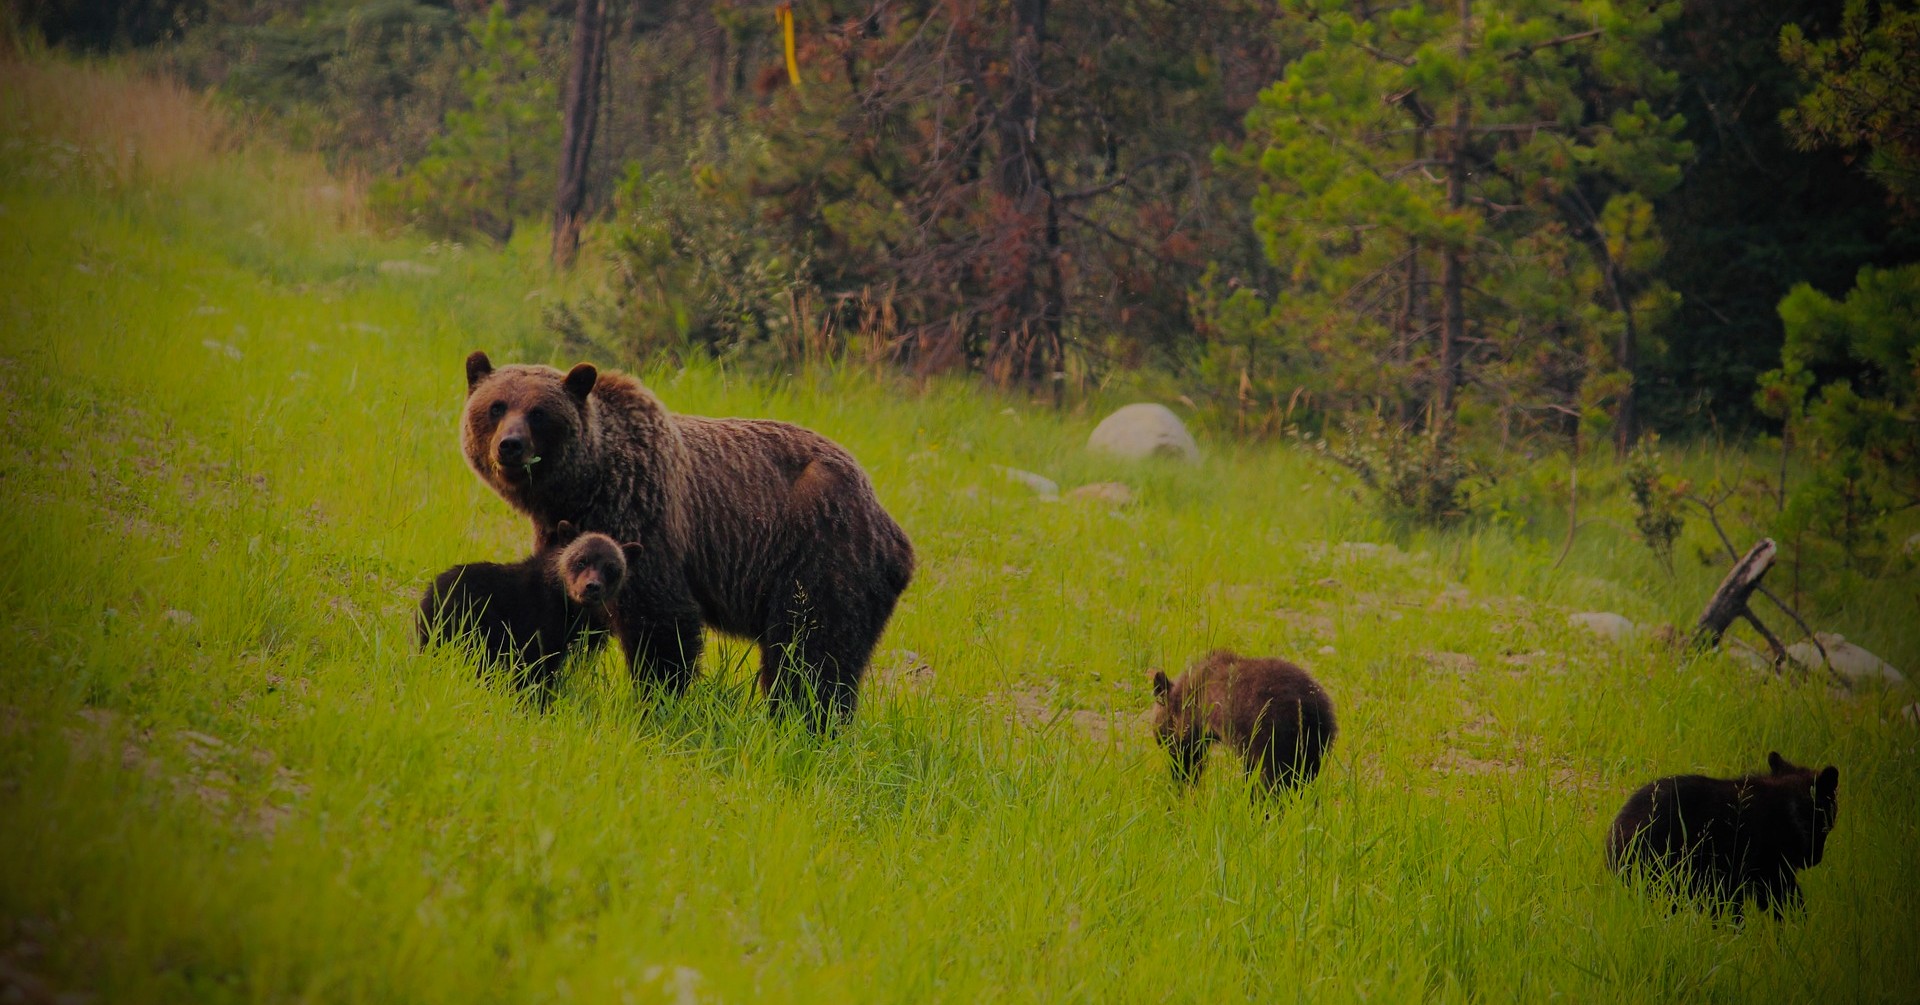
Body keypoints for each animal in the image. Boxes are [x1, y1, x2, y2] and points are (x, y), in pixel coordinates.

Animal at [462, 349, 913, 726]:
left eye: (539, 412)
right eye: (496, 406)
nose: (510, 445)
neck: (584, 486)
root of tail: (893, 530)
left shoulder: (643, 517)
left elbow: (660, 622)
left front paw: (657, 702)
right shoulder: (563, 535)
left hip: (822, 556)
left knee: (812, 653)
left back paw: (804, 724)